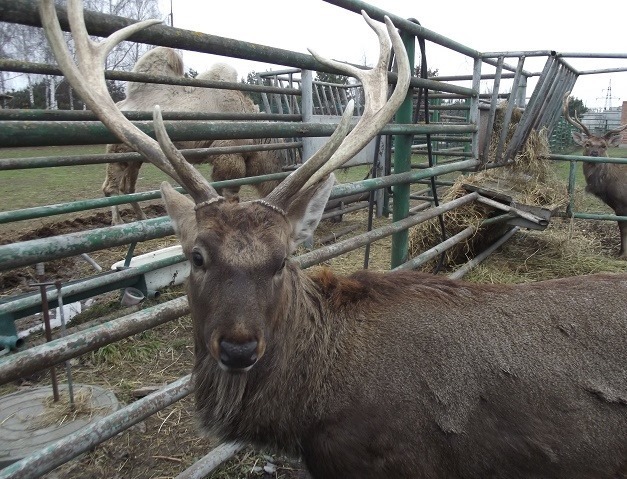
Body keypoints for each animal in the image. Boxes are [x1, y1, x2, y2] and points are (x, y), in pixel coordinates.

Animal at [105, 45, 284, 225]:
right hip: (118, 151)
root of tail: (120, 105)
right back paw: (117, 222)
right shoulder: (229, 156)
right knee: (110, 187)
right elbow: (231, 191)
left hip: (136, 157)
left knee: (128, 188)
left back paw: (141, 217)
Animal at [564, 94, 627, 258]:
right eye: (587, 144)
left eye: (604, 146)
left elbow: (623, 228)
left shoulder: (622, 205)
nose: (594, 153)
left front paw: (622, 254)